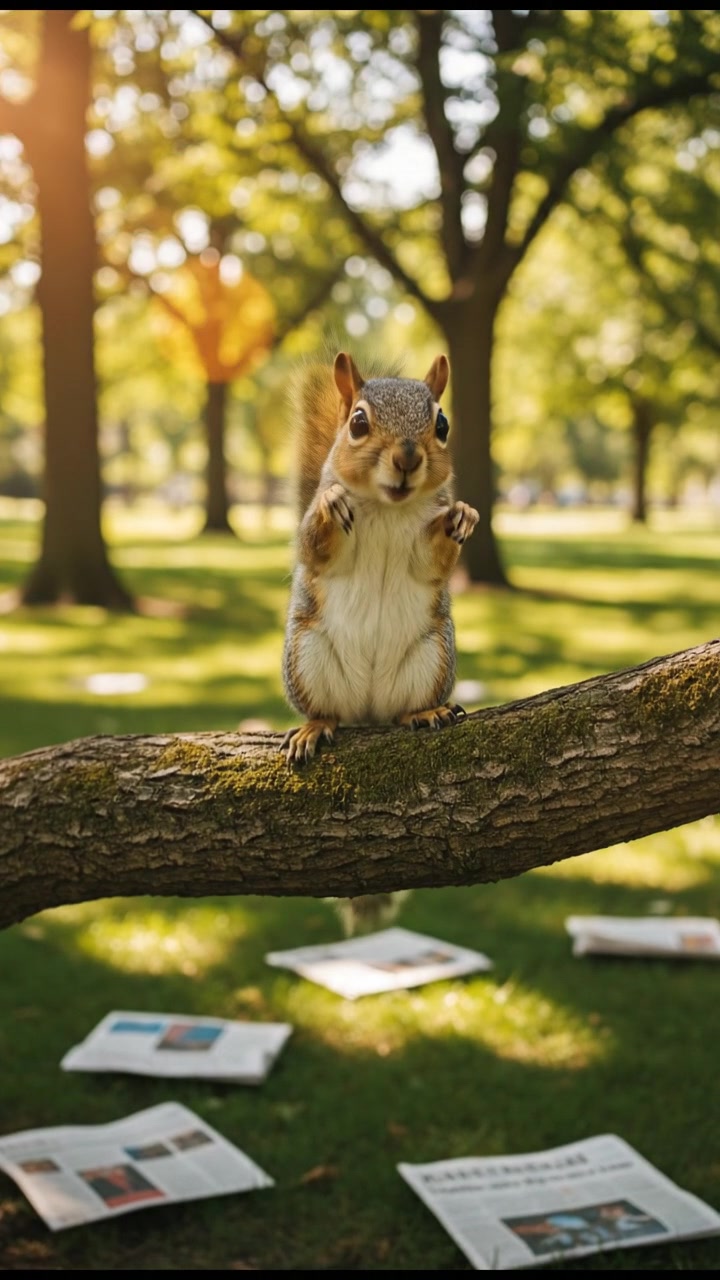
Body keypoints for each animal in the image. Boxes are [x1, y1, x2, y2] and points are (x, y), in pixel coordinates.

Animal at [279, 349, 479, 933]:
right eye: (358, 423)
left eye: (442, 424)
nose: (408, 457)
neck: (389, 507)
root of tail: (367, 710)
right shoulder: (318, 549)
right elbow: (315, 545)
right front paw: (330, 505)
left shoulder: (424, 554)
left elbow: (431, 562)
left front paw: (462, 517)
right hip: (307, 656)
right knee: (328, 712)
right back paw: (315, 728)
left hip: (432, 656)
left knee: (401, 710)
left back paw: (424, 714)